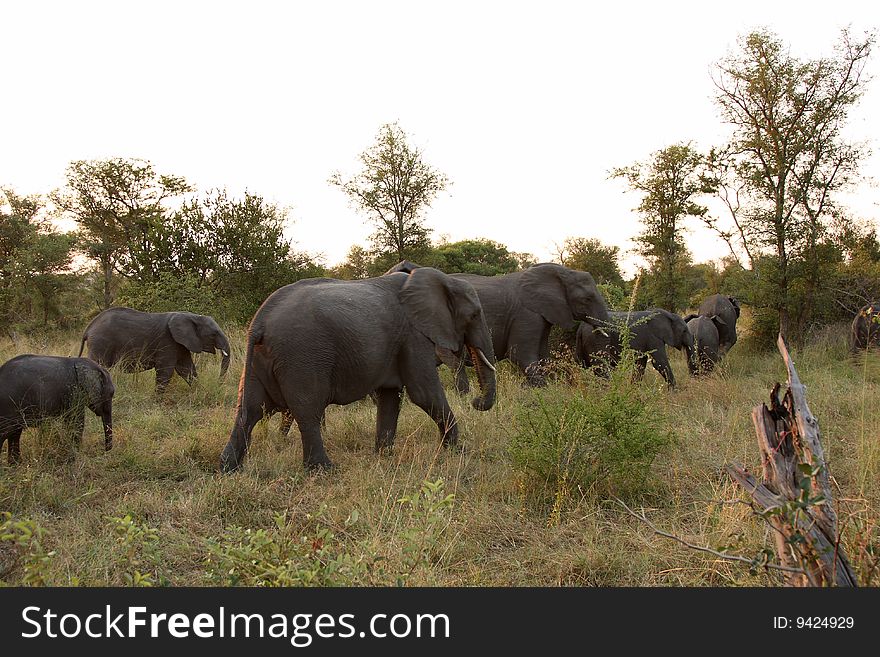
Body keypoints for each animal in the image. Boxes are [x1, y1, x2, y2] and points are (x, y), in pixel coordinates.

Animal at [79, 306, 232, 392]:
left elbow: (186, 369)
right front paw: (158, 401)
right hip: (100, 344)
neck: (191, 316)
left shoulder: (180, 343)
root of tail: (88, 328)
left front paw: (198, 392)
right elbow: (166, 371)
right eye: (213, 334)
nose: (219, 385)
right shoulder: (167, 340)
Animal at [220, 266, 496, 472]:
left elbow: (390, 397)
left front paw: (384, 456)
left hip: (260, 359)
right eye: (474, 315)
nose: (475, 401)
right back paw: (324, 470)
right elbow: (424, 393)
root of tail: (260, 321)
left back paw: (229, 468)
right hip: (301, 356)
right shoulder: (413, 335)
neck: (442, 279)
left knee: (249, 410)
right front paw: (458, 452)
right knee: (307, 410)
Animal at [388, 258, 608, 386]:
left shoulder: (541, 315)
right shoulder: (526, 314)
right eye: (587, 298)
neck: (563, 271)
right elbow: (521, 355)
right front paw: (541, 389)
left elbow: (543, 356)